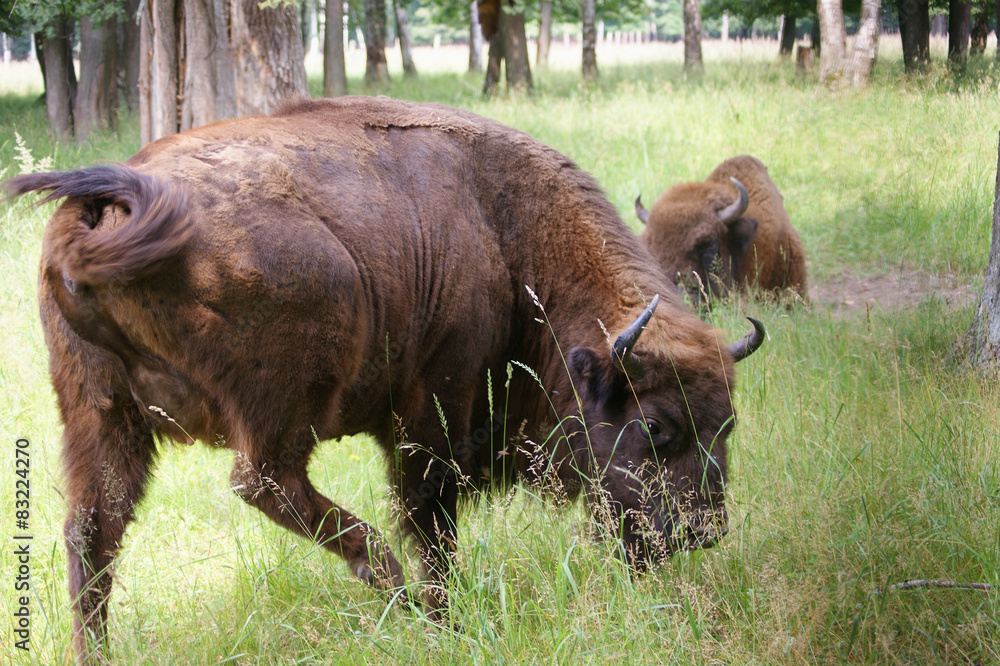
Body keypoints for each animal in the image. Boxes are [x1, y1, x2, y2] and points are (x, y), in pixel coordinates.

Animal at [6, 96, 764, 661]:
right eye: (656, 425)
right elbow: (432, 520)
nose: (701, 532)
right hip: (288, 391)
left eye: (727, 423)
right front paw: (445, 618)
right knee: (263, 482)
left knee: (93, 532)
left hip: (103, 415)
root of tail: (111, 204)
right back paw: (389, 583)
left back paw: (98, 652)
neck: (508, 238)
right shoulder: (434, 406)